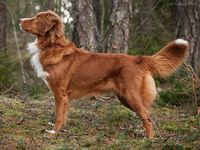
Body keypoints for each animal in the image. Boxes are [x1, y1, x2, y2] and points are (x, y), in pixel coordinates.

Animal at [19, 10, 189, 139]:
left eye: (37, 18)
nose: (20, 20)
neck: (52, 46)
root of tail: (138, 58)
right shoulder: (64, 96)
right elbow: (64, 114)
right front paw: (61, 130)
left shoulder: (60, 92)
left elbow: (58, 115)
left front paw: (54, 131)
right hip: (125, 98)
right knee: (145, 114)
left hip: (130, 95)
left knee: (146, 115)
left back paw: (149, 139)